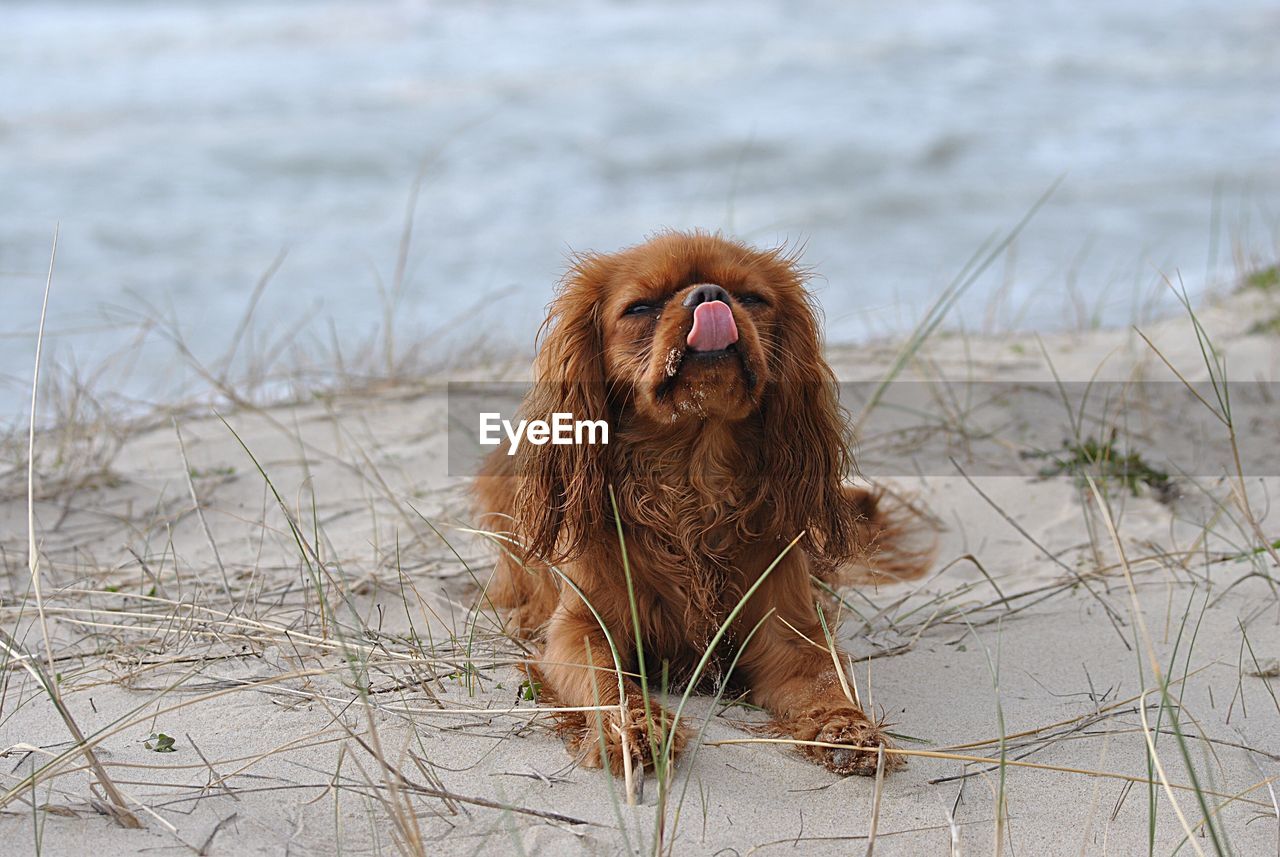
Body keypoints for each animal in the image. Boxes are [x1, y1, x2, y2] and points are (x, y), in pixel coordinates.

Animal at [476, 230, 926, 777]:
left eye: (753, 298)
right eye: (640, 307)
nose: (709, 296)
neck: (693, 475)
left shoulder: (788, 633)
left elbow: (823, 681)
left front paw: (846, 729)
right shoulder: (578, 631)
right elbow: (606, 682)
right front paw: (634, 728)